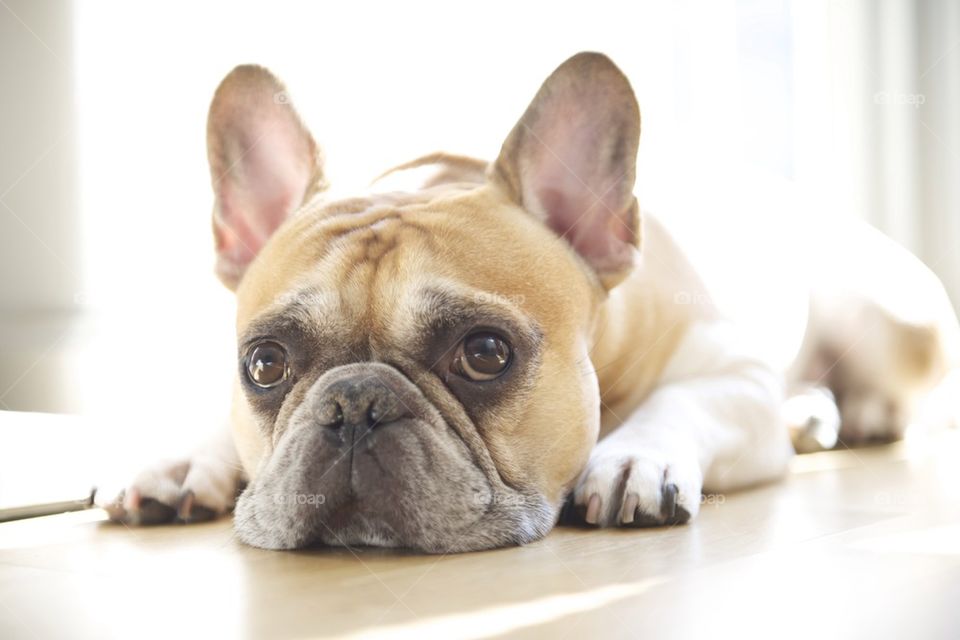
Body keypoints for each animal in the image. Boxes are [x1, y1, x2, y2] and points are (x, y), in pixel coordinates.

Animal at [101, 52, 956, 552]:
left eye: (485, 354)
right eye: (265, 364)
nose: (353, 405)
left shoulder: (735, 372)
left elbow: (681, 402)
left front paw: (633, 458)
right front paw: (180, 458)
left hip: (888, 314)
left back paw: (844, 415)